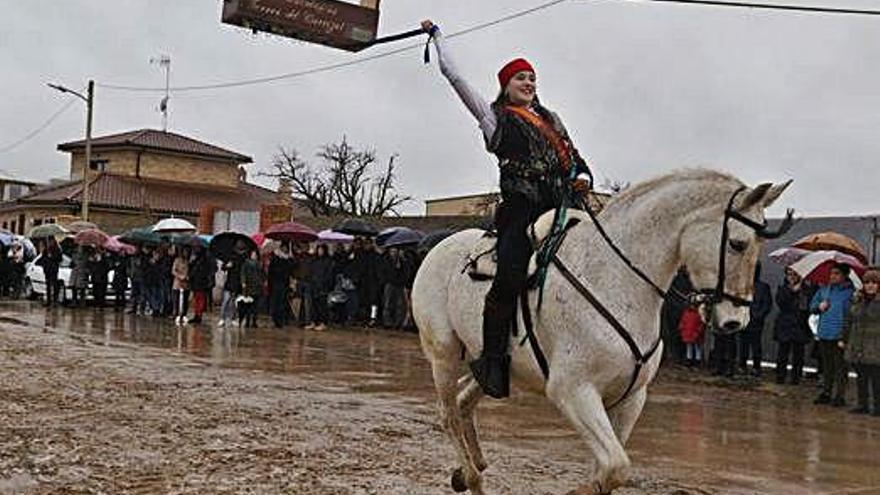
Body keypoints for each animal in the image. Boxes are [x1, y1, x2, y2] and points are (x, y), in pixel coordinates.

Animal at [412, 171, 792, 495]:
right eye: (739, 244)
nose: (735, 322)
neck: (613, 279)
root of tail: (437, 248)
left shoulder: (631, 398)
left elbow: (610, 469)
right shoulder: (574, 391)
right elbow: (615, 467)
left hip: (494, 365)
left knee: (464, 400)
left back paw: (469, 469)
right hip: (444, 354)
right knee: (448, 413)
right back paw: (472, 476)